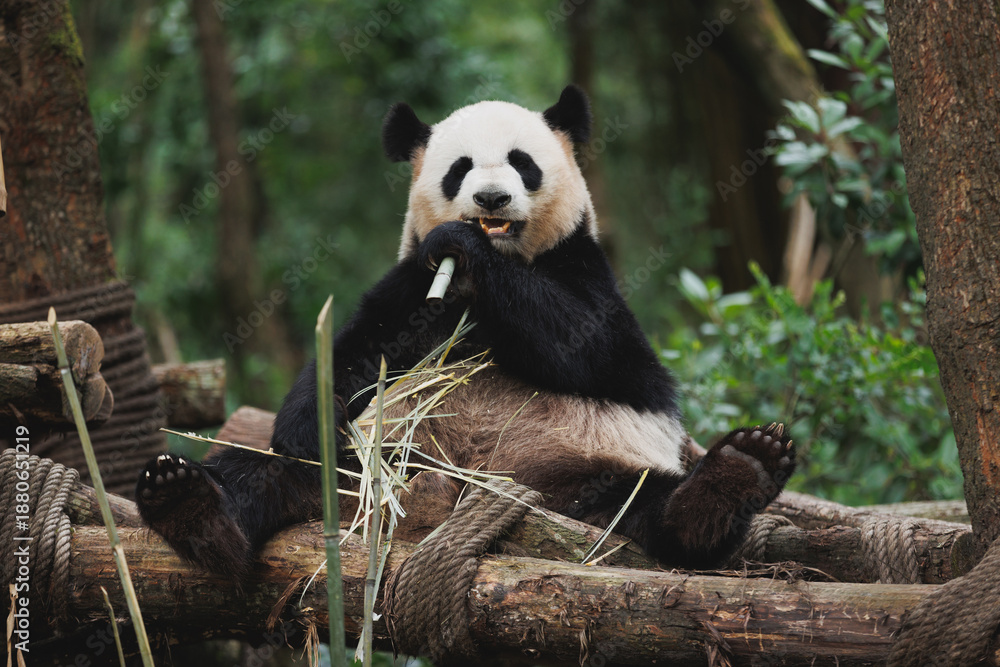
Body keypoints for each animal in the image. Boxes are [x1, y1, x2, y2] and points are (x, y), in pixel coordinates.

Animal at [135, 85, 795, 577]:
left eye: (523, 163)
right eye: (460, 169)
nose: (492, 198)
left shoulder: (583, 269)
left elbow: (586, 345)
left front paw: (469, 250)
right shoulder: (411, 284)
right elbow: (359, 352)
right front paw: (305, 422)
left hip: (585, 468)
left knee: (643, 507)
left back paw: (735, 476)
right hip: (370, 467)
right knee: (264, 474)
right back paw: (186, 501)